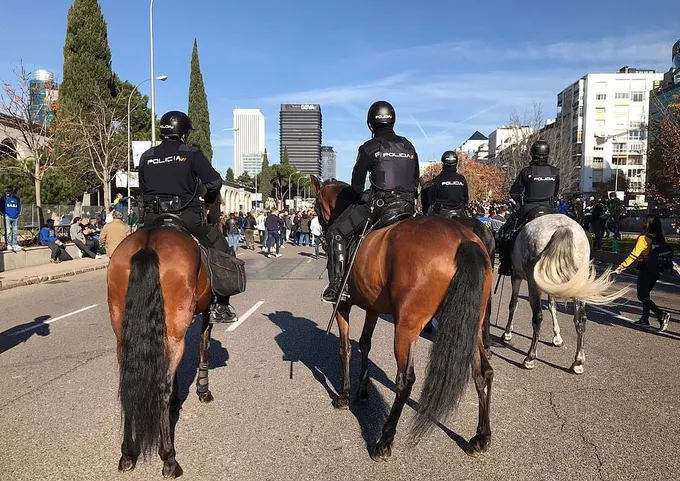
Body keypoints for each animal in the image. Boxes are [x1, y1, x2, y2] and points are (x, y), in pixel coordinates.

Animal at [109, 220, 215, 476]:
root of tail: (148, 245)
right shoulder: (205, 313)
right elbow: (204, 348)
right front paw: (203, 390)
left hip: (122, 333)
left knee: (128, 385)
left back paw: (127, 454)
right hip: (175, 330)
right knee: (161, 388)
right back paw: (169, 458)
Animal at [312, 175, 494, 458]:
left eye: (316, 205)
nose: (320, 231)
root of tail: (464, 239)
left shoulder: (343, 306)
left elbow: (345, 349)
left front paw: (344, 395)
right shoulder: (373, 308)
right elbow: (365, 344)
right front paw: (362, 391)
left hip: (407, 326)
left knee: (405, 380)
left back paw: (384, 440)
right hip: (470, 324)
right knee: (483, 372)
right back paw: (481, 437)